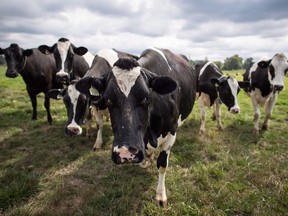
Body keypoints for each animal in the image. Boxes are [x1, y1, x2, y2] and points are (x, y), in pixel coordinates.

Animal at [74, 47, 197, 206]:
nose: (125, 152)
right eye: (108, 99)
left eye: (146, 97)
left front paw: (160, 195)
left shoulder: (171, 133)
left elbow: (162, 164)